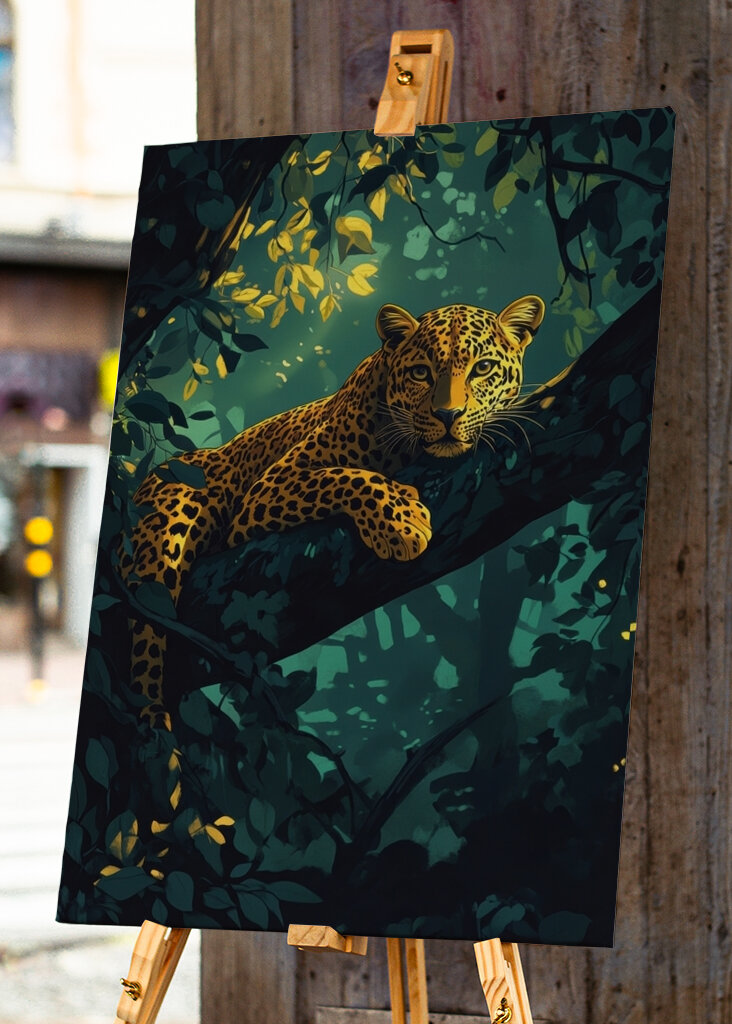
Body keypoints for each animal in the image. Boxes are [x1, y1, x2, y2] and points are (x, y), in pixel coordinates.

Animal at [118, 294, 545, 727]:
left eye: (483, 368)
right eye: (421, 372)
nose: (448, 415)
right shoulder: (266, 490)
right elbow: (344, 476)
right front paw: (402, 522)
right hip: (172, 515)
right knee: (146, 630)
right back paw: (151, 710)